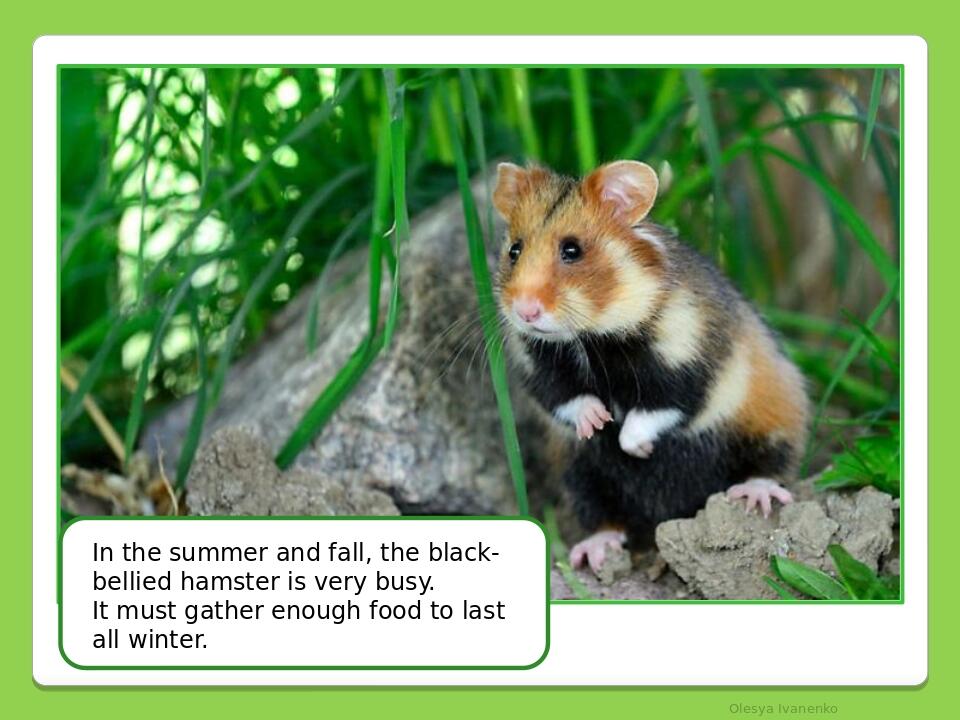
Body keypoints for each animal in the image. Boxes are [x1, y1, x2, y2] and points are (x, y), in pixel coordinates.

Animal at [492, 160, 810, 573]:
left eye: (572, 250)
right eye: (514, 250)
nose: (525, 311)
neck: (590, 336)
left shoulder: (691, 363)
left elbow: (656, 411)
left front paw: (637, 448)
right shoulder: (538, 368)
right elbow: (567, 399)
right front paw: (596, 422)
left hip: (769, 423)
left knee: (769, 464)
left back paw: (754, 495)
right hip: (582, 477)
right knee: (604, 516)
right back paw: (593, 552)